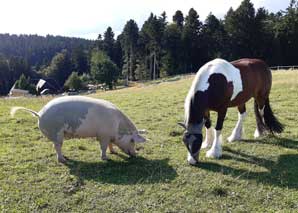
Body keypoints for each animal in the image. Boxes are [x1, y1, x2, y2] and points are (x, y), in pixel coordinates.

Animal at [10, 95, 147, 162]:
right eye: (132, 140)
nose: (135, 154)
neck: (117, 126)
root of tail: (39, 113)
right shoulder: (103, 135)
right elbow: (103, 147)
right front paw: (106, 158)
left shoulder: (108, 136)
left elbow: (110, 144)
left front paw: (113, 152)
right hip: (57, 133)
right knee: (57, 146)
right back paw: (63, 160)